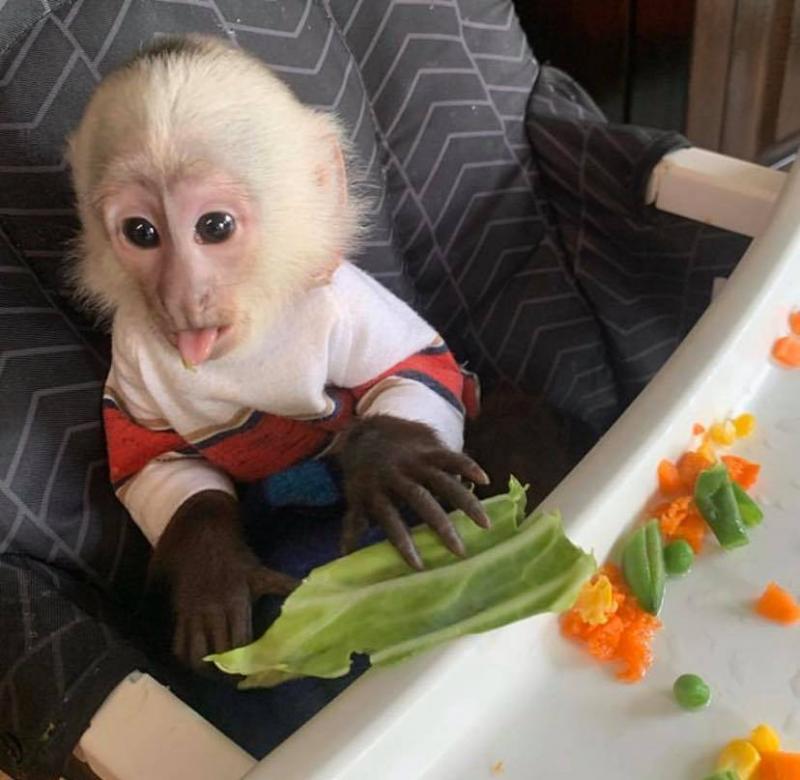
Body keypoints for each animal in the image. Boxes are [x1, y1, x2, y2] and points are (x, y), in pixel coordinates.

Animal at [66, 35, 491, 669]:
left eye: (214, 226)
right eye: (141, 233)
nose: (181, 296)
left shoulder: (343, 305)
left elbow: (417, 367)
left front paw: (386, 457)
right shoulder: (133, 352)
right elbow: (154, 463)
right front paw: (210, 564)